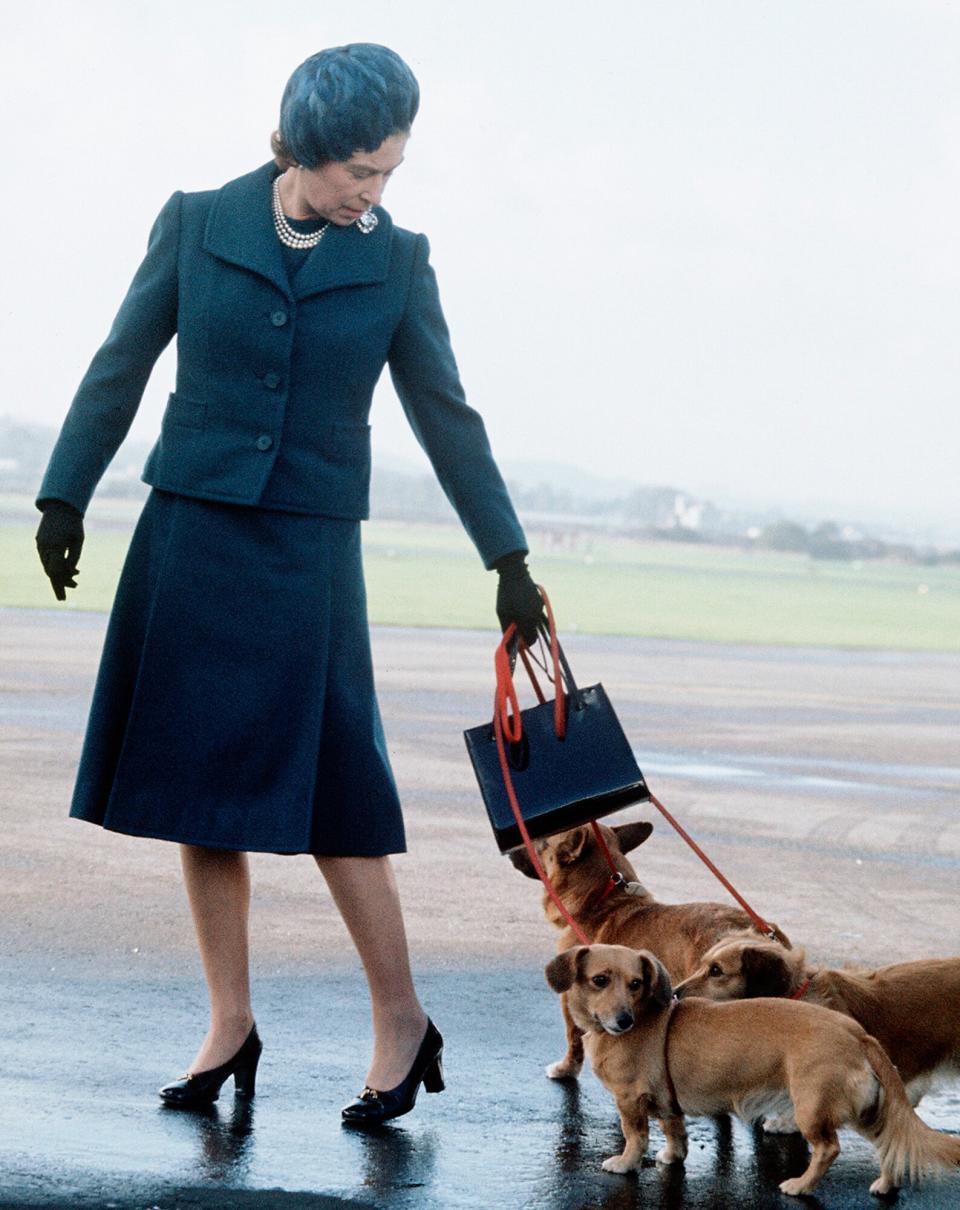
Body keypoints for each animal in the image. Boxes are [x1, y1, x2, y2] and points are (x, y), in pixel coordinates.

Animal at [508, 822, 784, 1079]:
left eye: (540, 843)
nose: (510, 850)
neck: (604, 900)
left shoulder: (572, 1000)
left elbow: (574, 1038)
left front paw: (566, 1069)